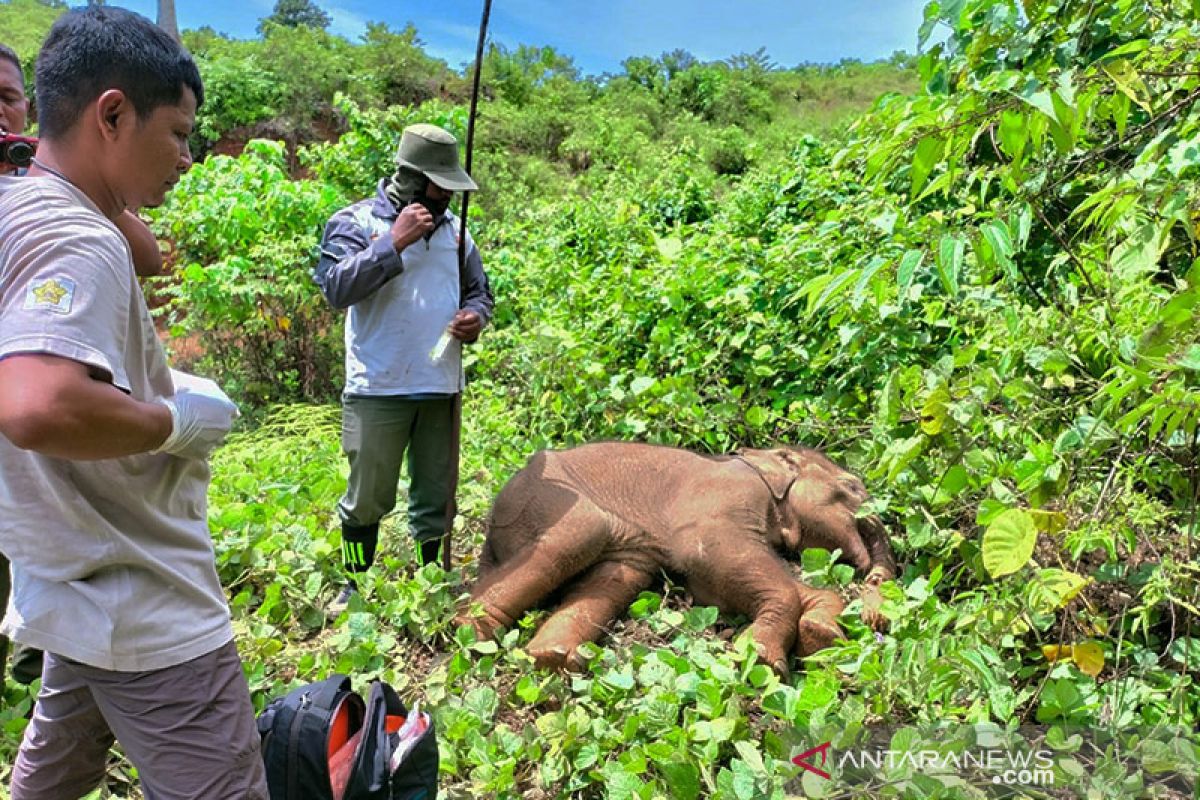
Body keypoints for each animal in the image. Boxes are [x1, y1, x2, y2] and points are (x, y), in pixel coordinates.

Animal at [458, 443, 892, 676]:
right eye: (852, 487)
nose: (871, 581)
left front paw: (822, 632)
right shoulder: (723, 497)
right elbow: (707, 551)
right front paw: (761, 659)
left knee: (618, 576)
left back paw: (552, 659)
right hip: (538, 498)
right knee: (581, 533)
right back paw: (470, 635)